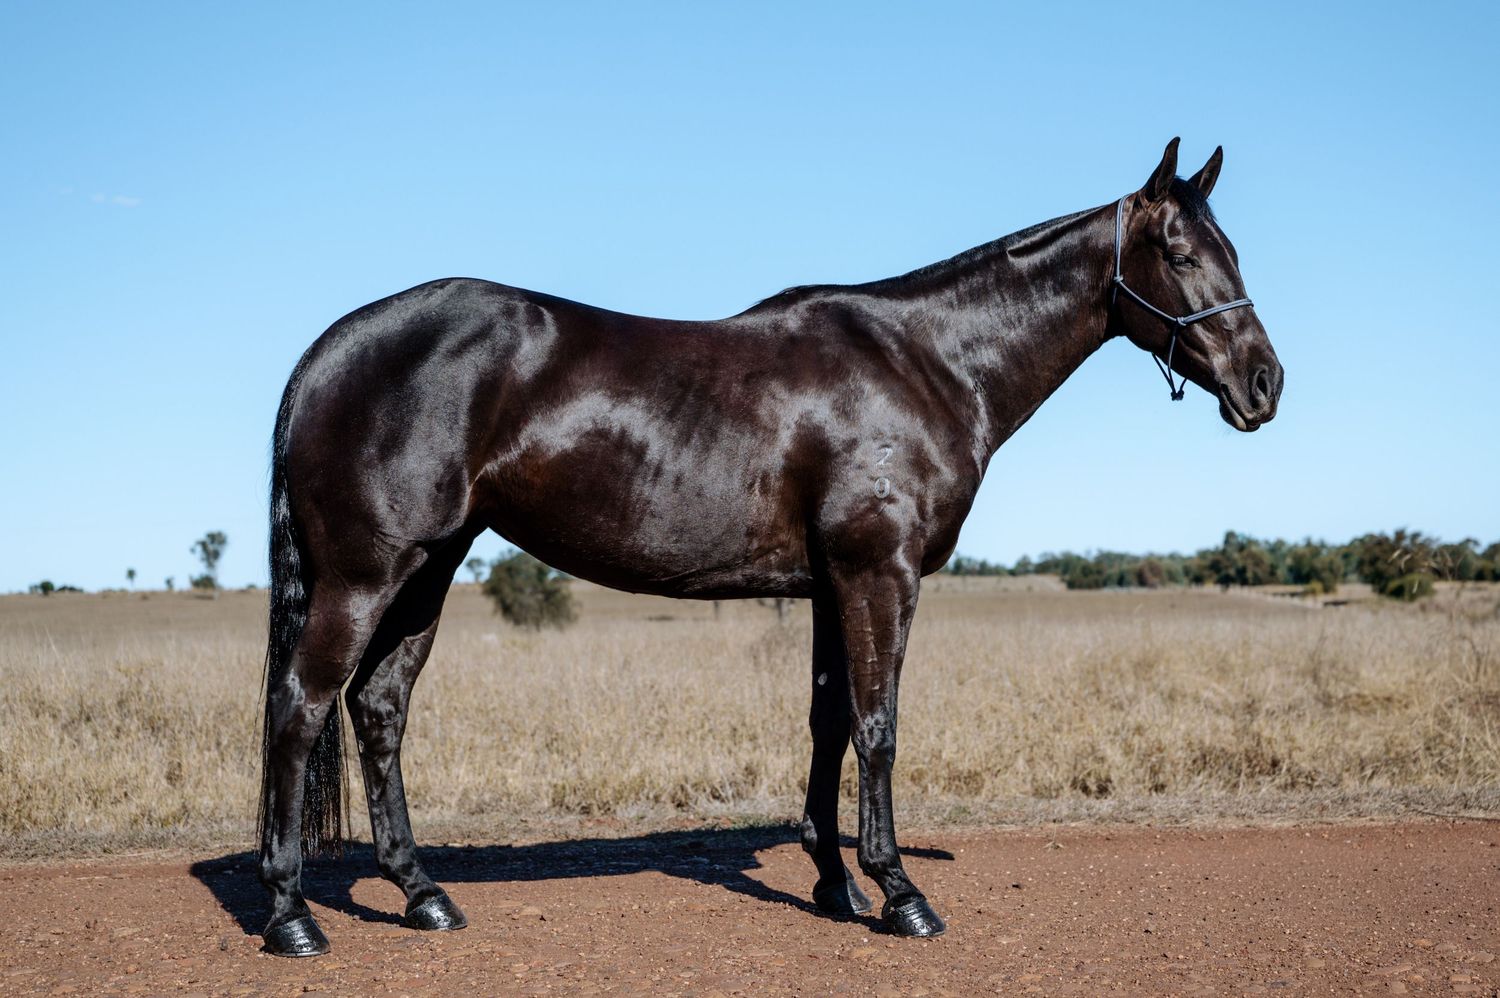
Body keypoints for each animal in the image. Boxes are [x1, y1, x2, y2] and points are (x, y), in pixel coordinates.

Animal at [256, 138, 1283, 956]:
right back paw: (291, 916)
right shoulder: (880, 574)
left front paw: (835, 882)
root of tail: (329, 349)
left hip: (426, 572)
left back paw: (422, 894)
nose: (1264, 383)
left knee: (378, 710)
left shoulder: (830, 584)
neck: (927, 363)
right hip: (364, 577)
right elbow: (879, 726)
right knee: (300, 707)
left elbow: (829, 722)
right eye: (1180, 253)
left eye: (1233, 251)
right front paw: (901, 894)